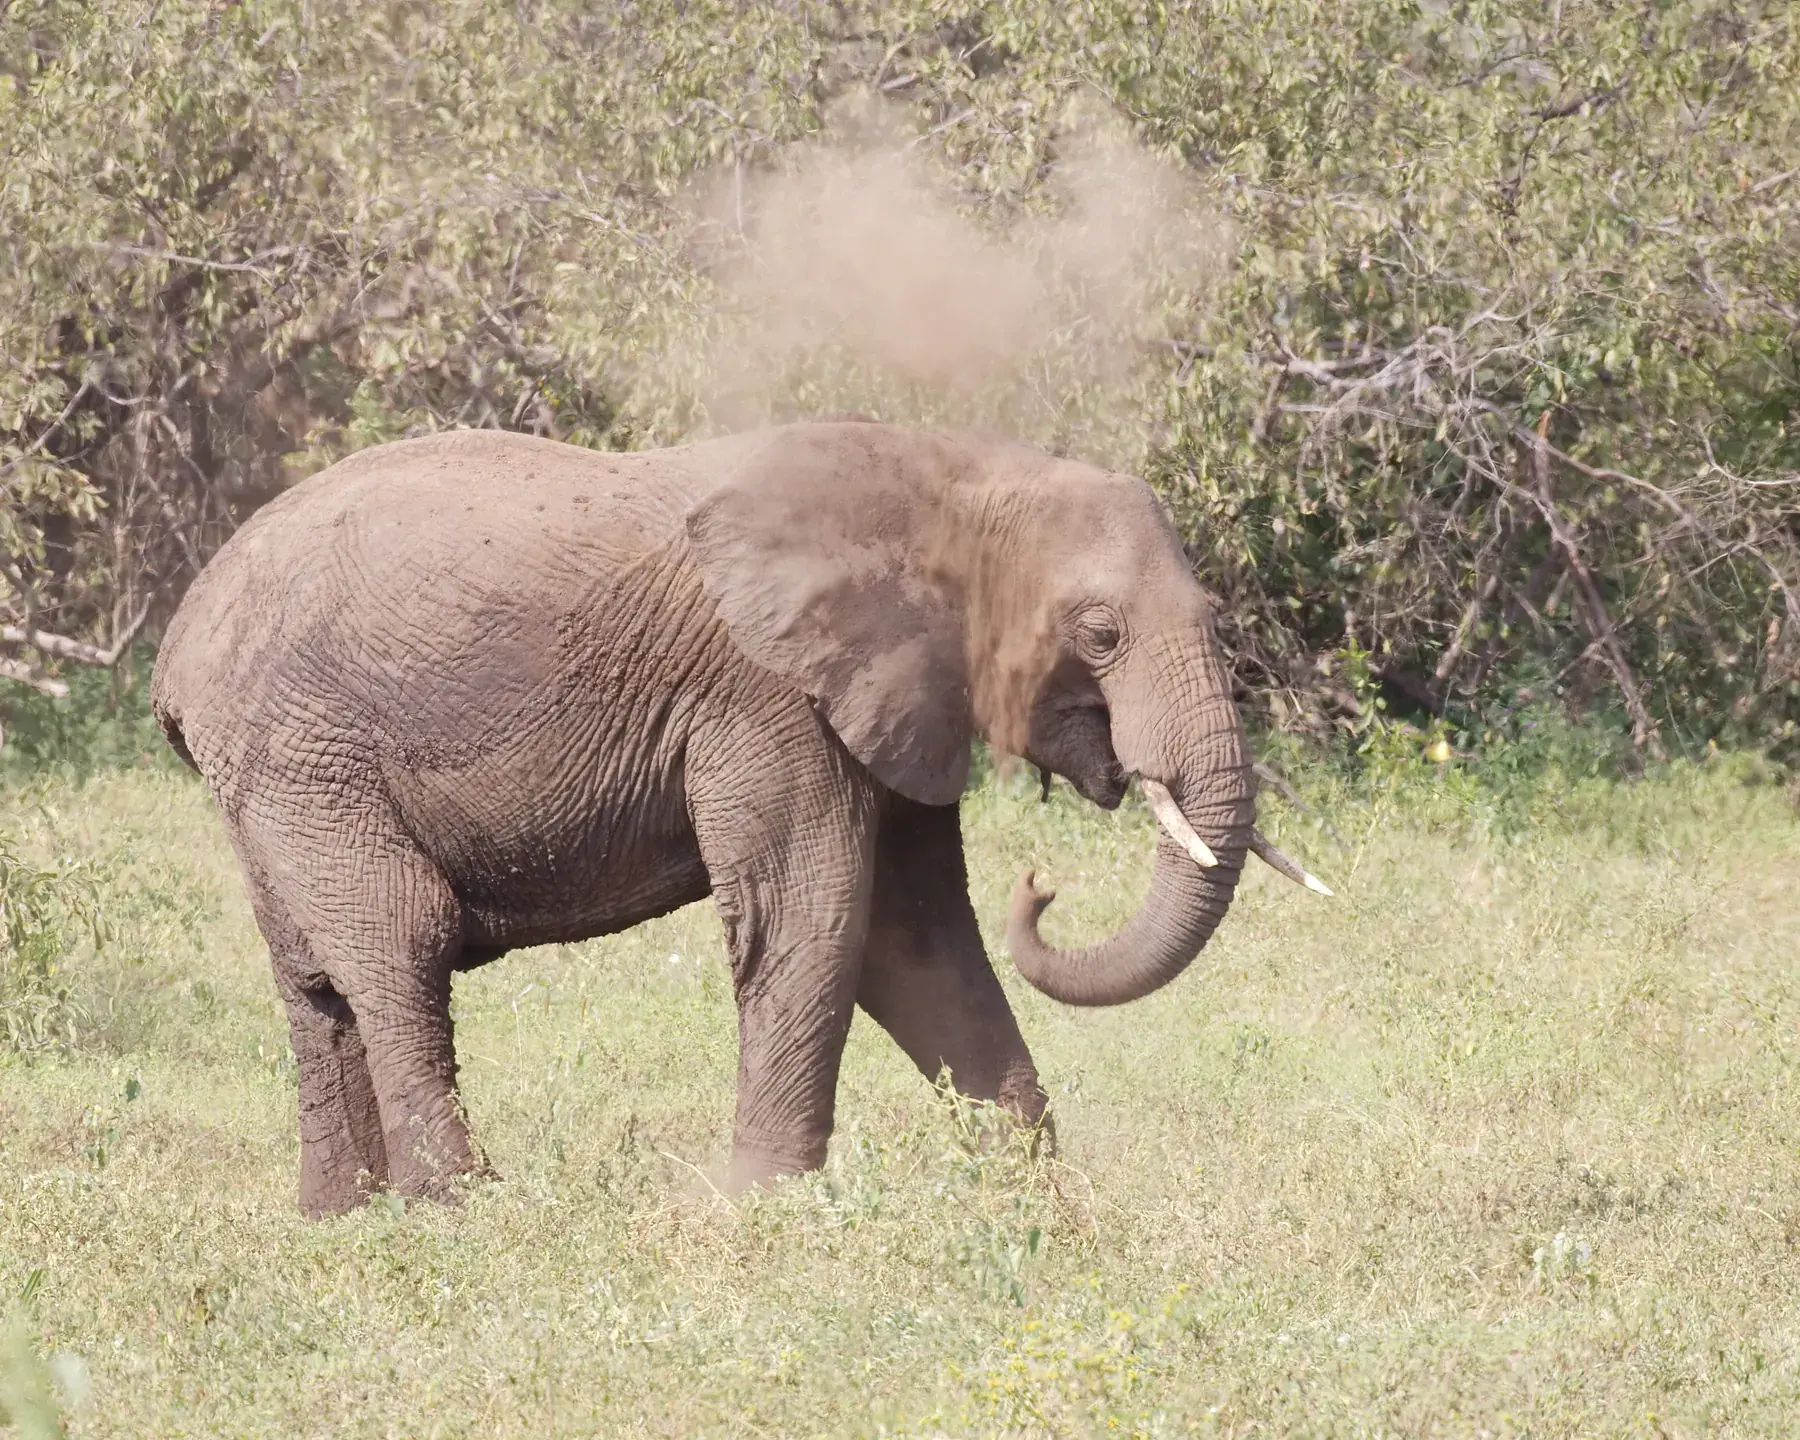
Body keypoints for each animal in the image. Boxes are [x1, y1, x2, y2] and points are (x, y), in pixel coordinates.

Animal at [150, 420, 1326, 1216]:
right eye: (1100, 633)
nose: (1041, 883)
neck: (947, 478)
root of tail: (176, 646)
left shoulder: (889, 697)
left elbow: (918, 942)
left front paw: (1032, 1194)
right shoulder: (768, 698)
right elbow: (818, 916)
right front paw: (763, 1209)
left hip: (275, 776)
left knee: (314, 981)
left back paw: (341, 1218)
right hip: (309, 755)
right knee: (398, 946)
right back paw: (473, 1208)